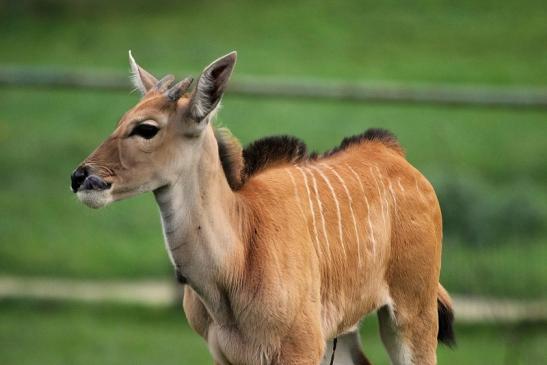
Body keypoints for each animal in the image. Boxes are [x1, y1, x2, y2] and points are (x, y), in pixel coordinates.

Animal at [70, 52, 456, 364]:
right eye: (121, 120)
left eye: (147, 128)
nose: (80, 177)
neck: (237, 259)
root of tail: (395, 153)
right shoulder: (226, 356)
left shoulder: (299, 349)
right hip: (343, 333)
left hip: (412, 315)